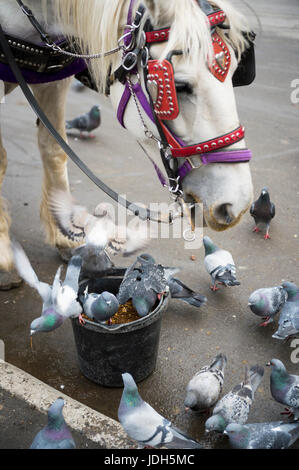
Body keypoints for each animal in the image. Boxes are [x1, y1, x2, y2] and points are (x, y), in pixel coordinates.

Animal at [0, 0, 255, 288]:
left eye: (237, 72)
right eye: (179, 86)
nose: (236, 204)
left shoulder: (55, 79)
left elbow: (53, 148)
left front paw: (65, 234)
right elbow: (2, 158)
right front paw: (4, 258)